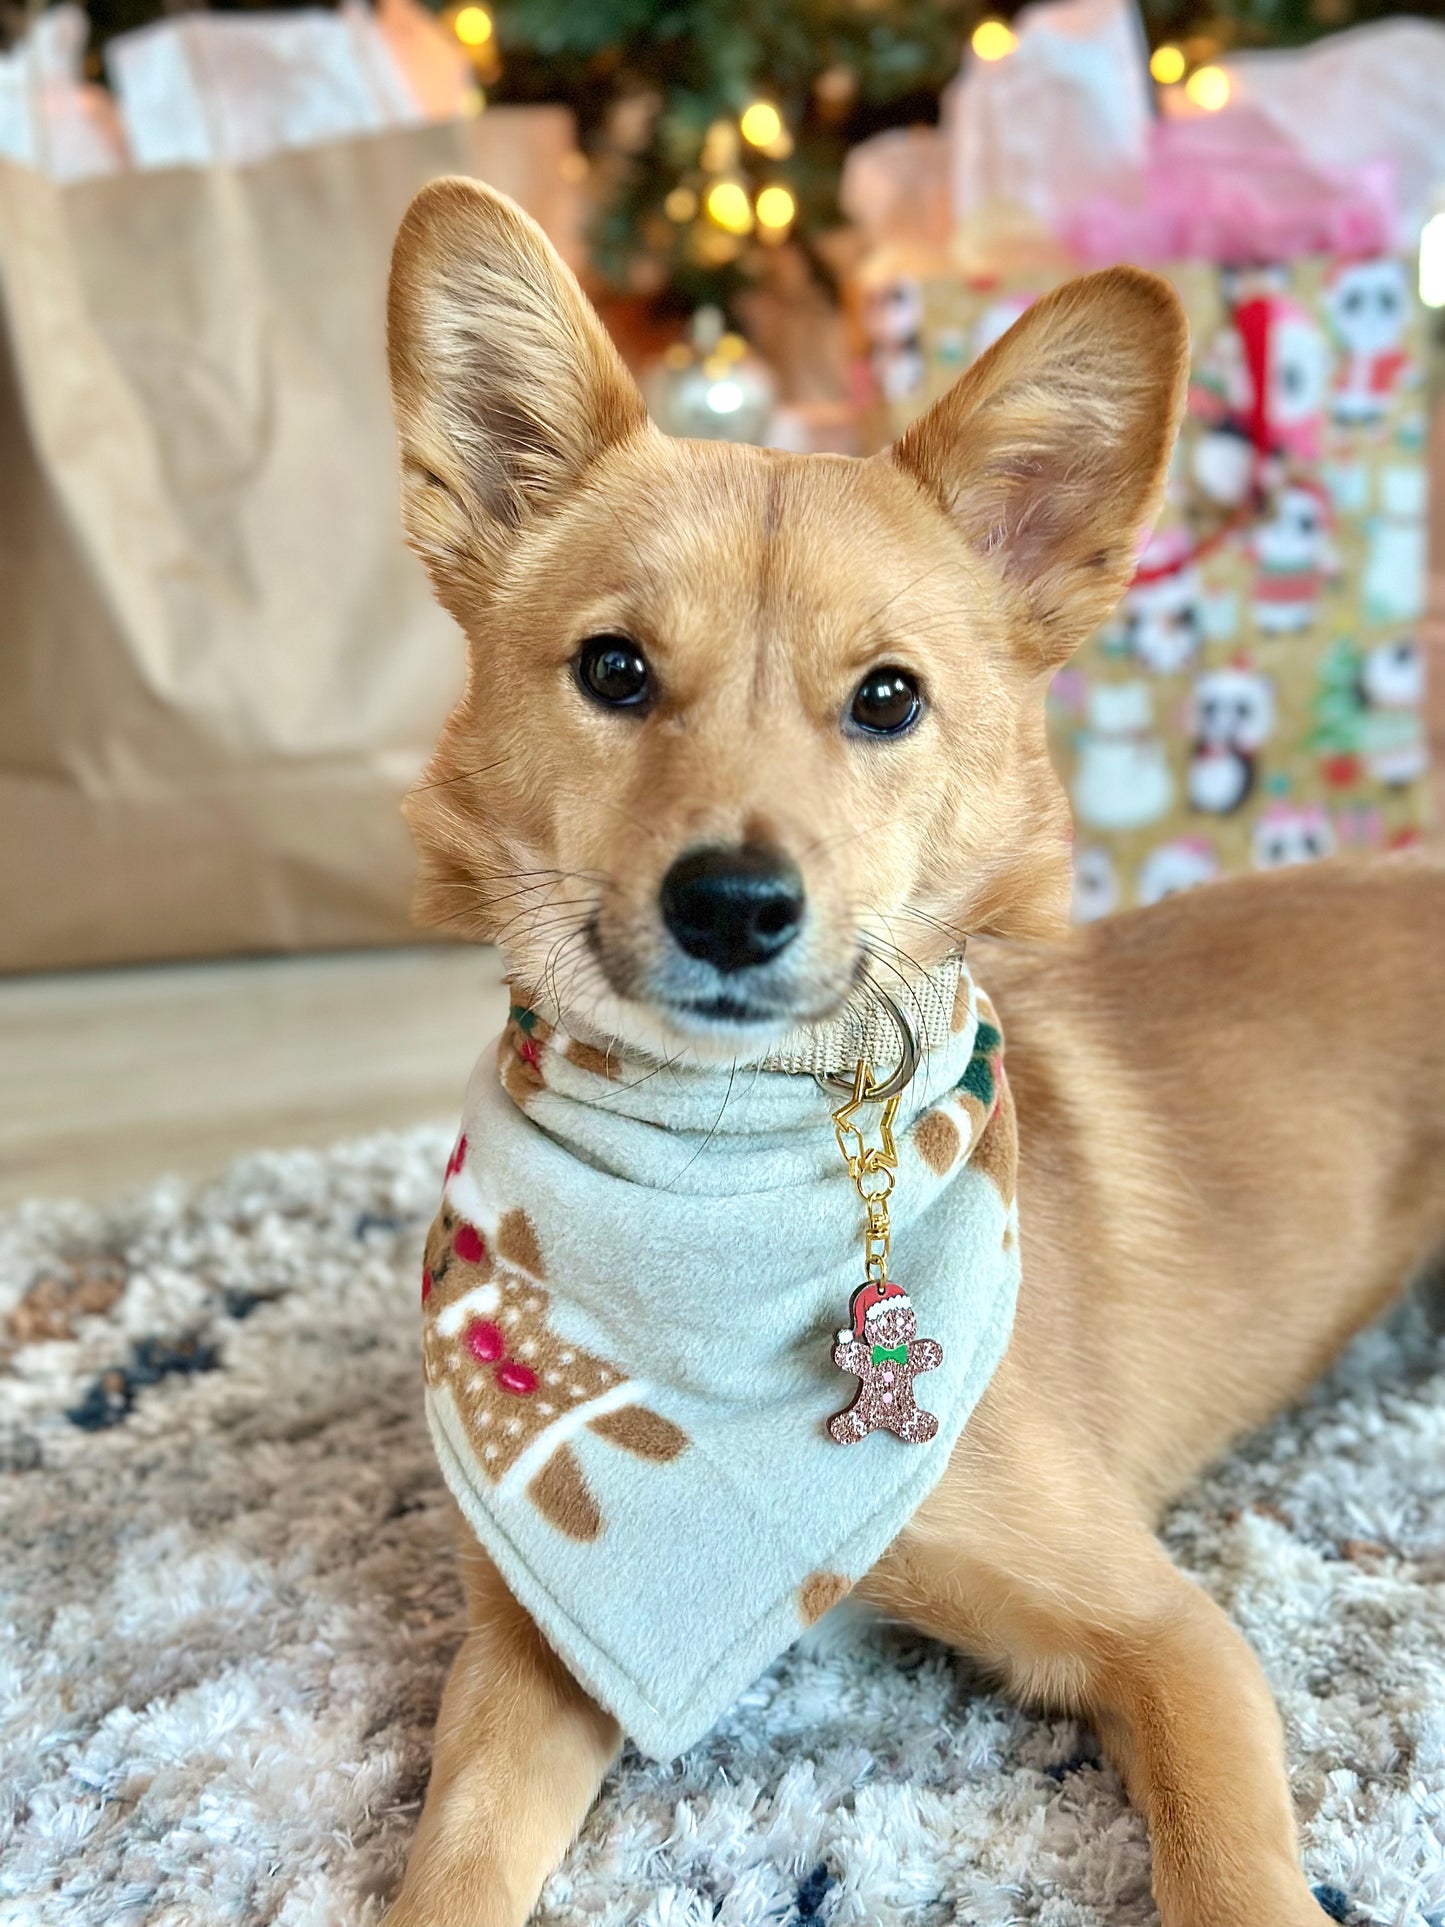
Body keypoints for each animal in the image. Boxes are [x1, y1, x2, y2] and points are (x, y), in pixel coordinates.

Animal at [379, 173, 1441, 1919]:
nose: (732, 905)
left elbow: (1230, 1868)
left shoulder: (1171, 1634)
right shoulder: (526, 1659)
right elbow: (450, 1867)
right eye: (614, 669)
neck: (725, 1172)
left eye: (886, 697)